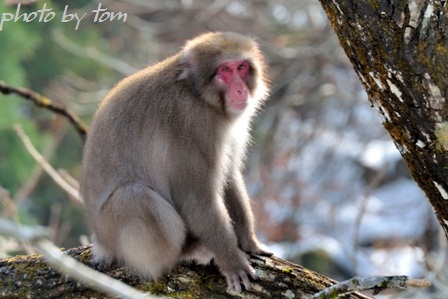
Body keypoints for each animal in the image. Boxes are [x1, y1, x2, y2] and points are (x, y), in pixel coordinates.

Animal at [81, 31, 272, 294]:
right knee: (135, 196)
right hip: (111, 231)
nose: (241, 90)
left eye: (241, 67)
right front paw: (232, 261)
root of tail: (100, 242)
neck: (197, 94)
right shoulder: (193, 123)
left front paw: (250, 241)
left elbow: (229, 176)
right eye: (225, 70)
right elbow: (196, 197)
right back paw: (183, 252)